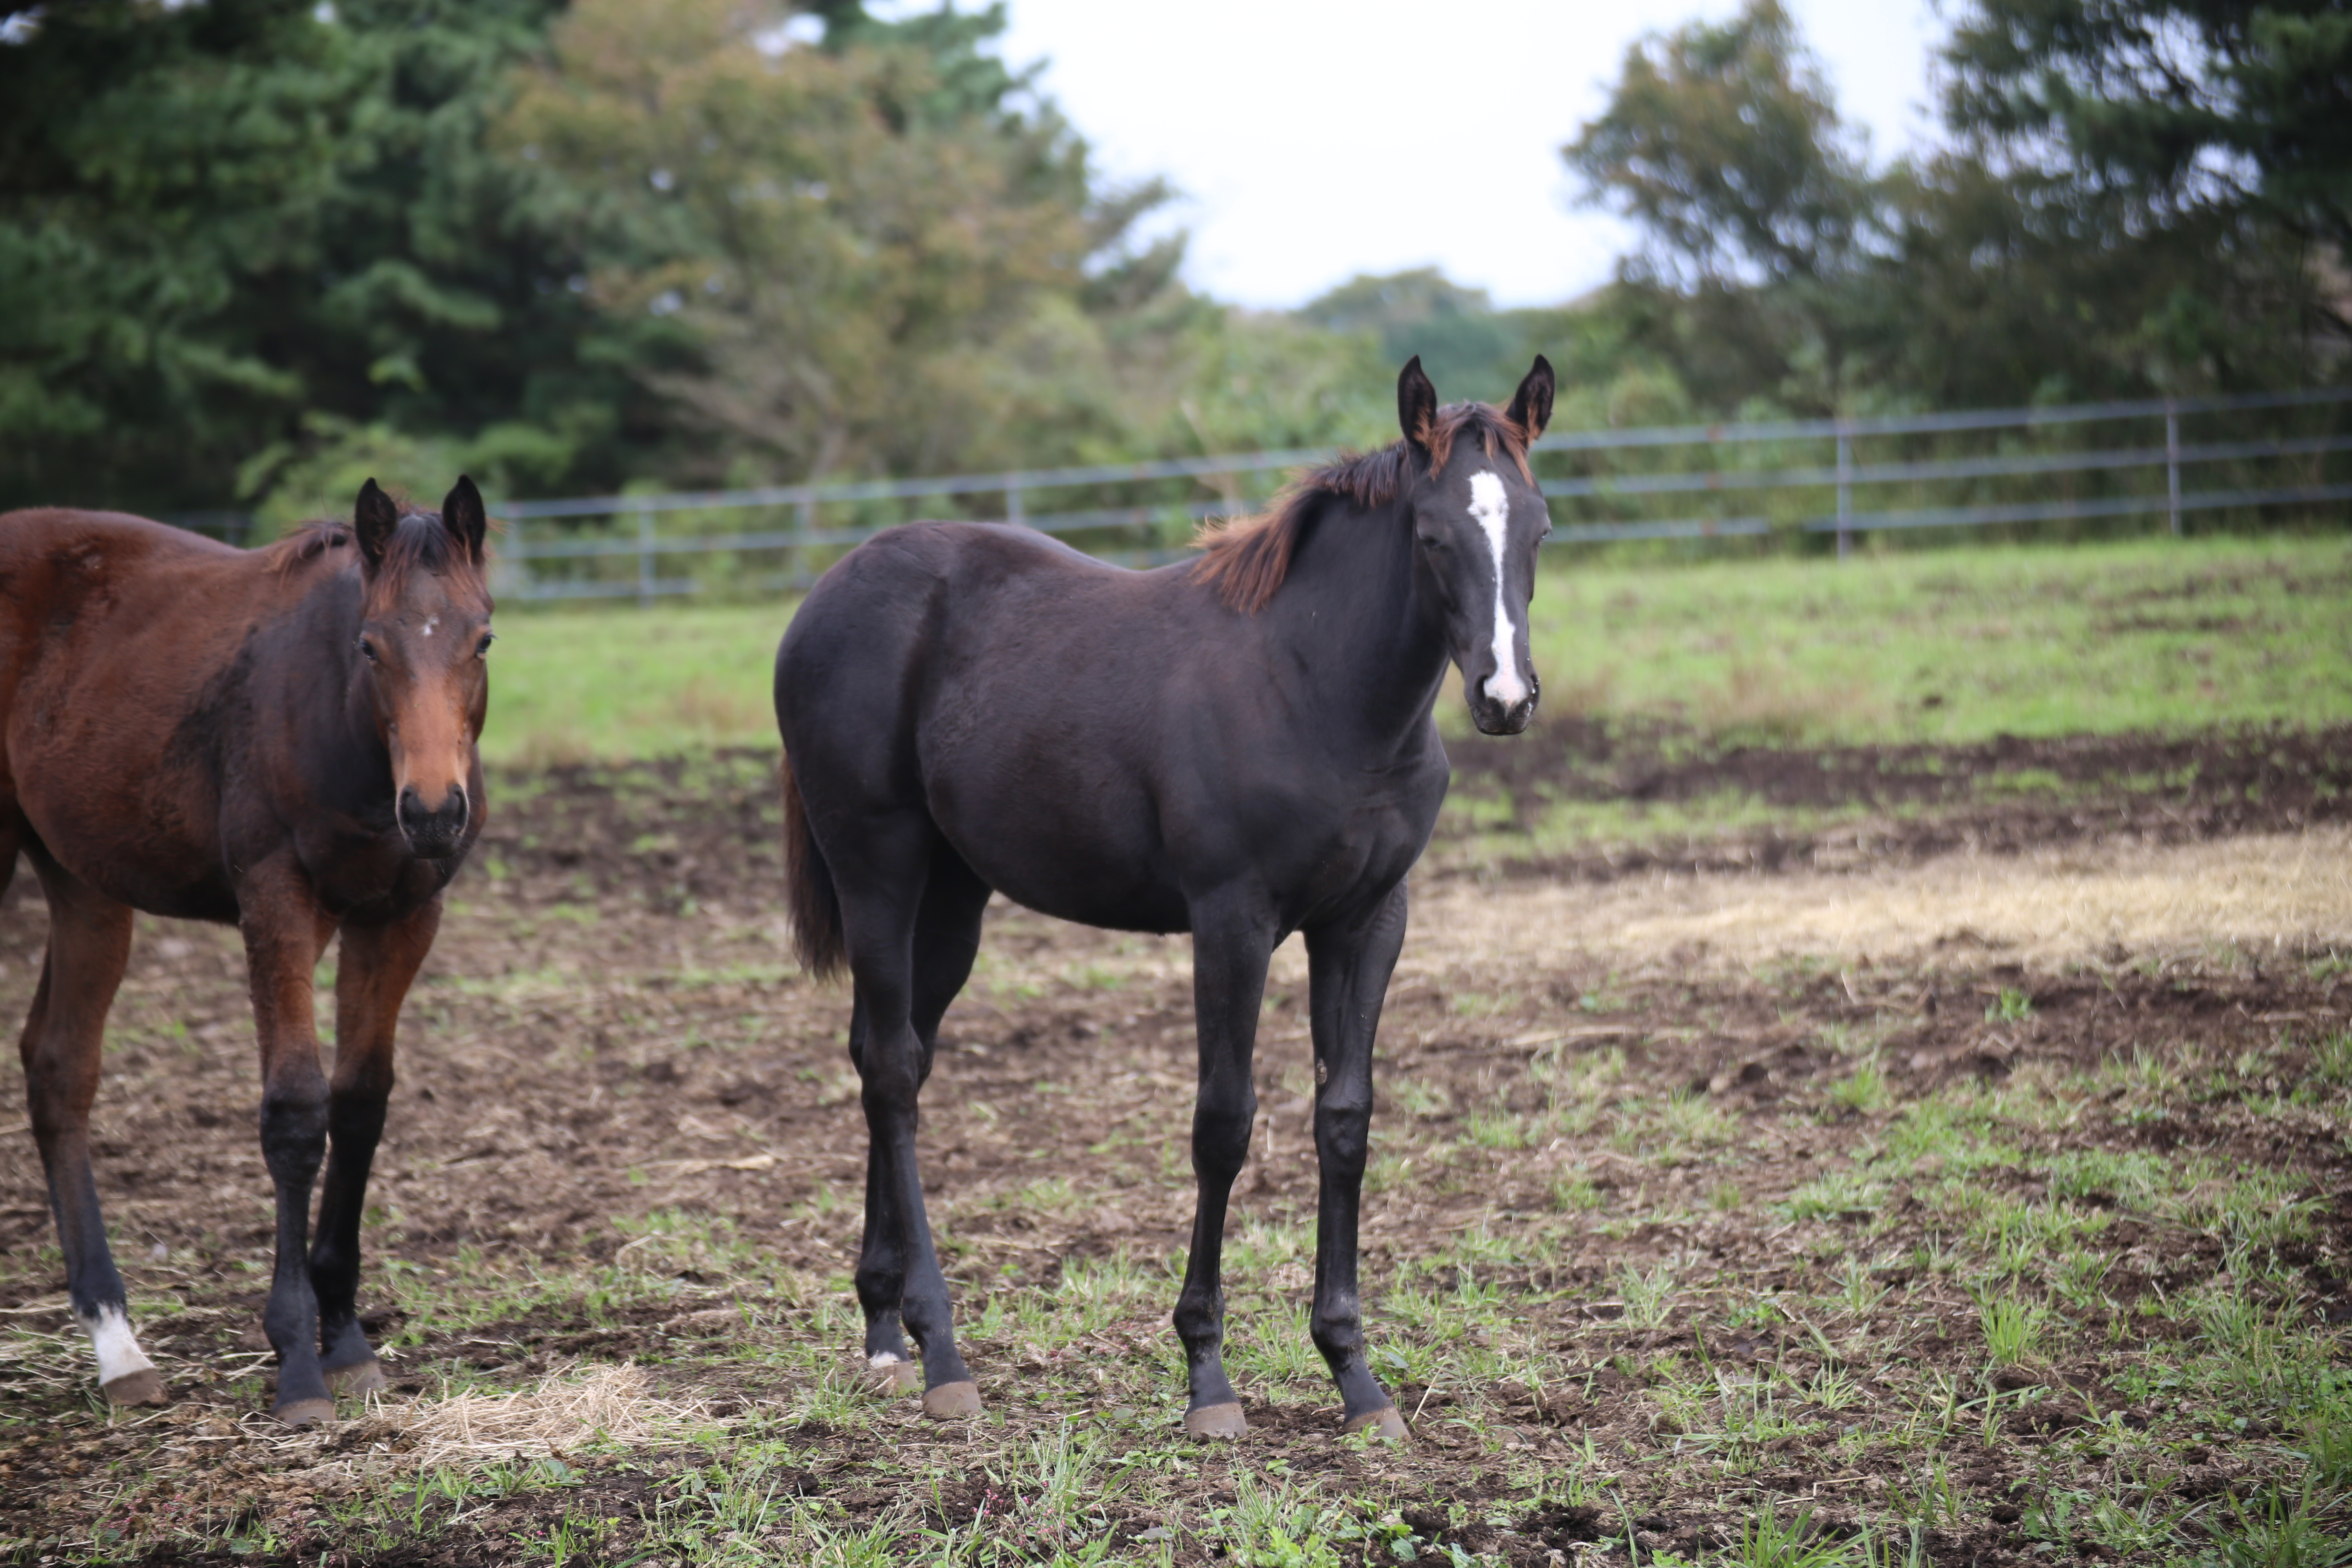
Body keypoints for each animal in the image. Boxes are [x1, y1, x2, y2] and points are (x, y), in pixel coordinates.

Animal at [3, 484, 491, 1429]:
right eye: (370, 645)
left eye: (483, 637)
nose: (435, 811)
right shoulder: (277, 902)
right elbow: (297, 1114)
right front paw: (298, 1362)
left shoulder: (401, 915)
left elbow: (361, 1104)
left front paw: (348, 1339)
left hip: (84, 885)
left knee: (59, 1066)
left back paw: (118, 1347)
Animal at [771, 355, 1552, 1439]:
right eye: (1433, 535)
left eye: (1538, 529)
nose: (1505, 699)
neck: (1310, 685)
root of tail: (829, 591)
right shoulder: (1231, 920)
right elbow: (1222, 1124)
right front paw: (1208, 1376)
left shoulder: (1366, 922)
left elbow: (1344, 1119)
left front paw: (1355, 1376)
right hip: (875, 862)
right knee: (891, 1068)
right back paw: (943, 1353)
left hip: (955, 895)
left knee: (892, 1056)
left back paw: (886, 1329)